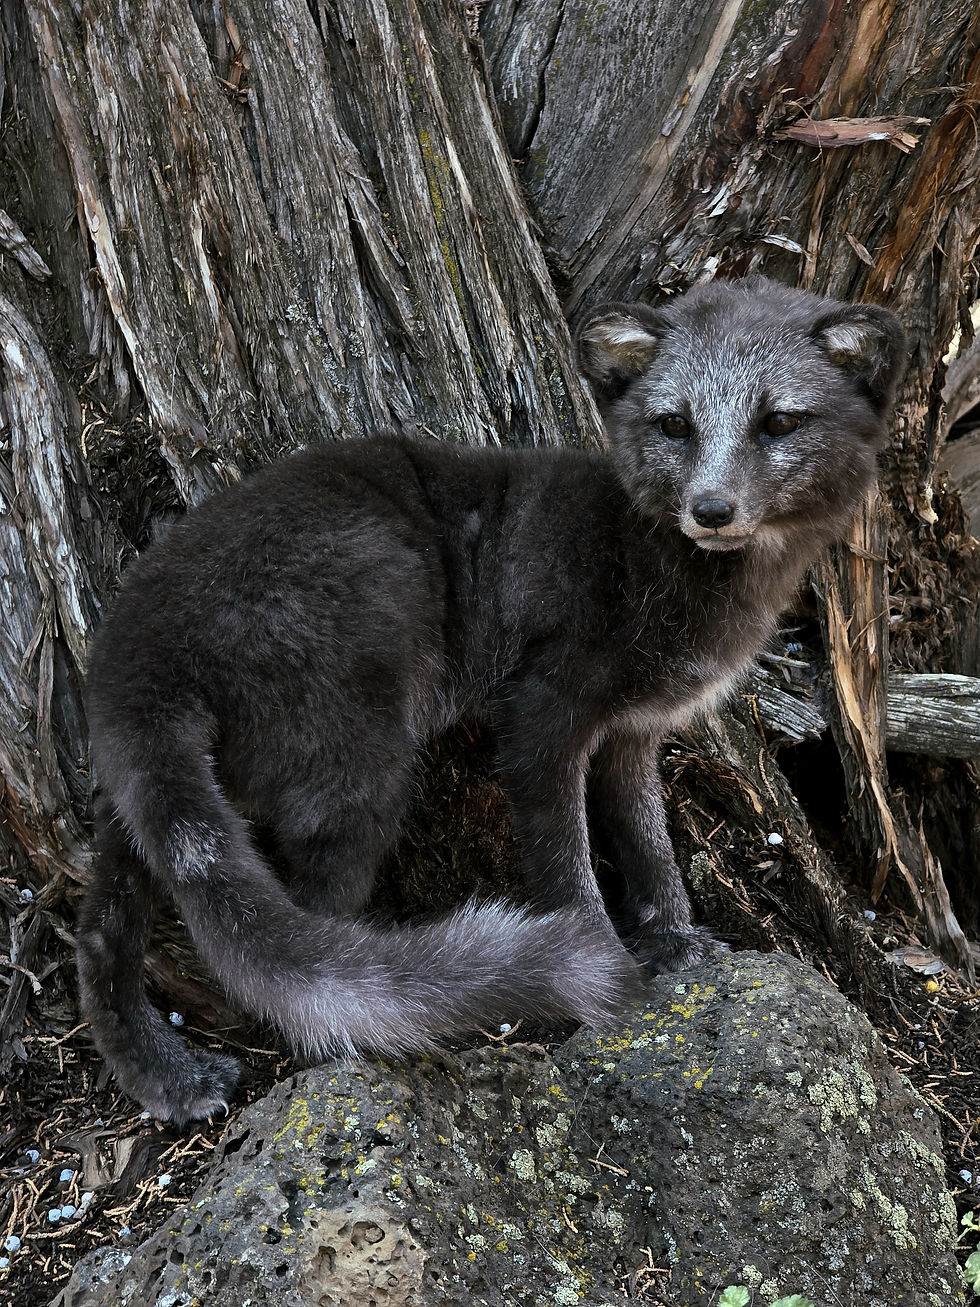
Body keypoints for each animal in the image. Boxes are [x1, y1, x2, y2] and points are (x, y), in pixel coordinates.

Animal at [77, 277, 905, 1123]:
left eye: (780, 421)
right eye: (676, 424)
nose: (710, 510)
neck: (661, 571)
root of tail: (142, 646)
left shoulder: (634, 732)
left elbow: (649, 844)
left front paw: (678, 940)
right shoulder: (543, 713)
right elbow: (568, 868)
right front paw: (610, 972)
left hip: (149, 804)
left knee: (102, 932)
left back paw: (165, 1073)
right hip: (362, 766)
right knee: (311, 938)